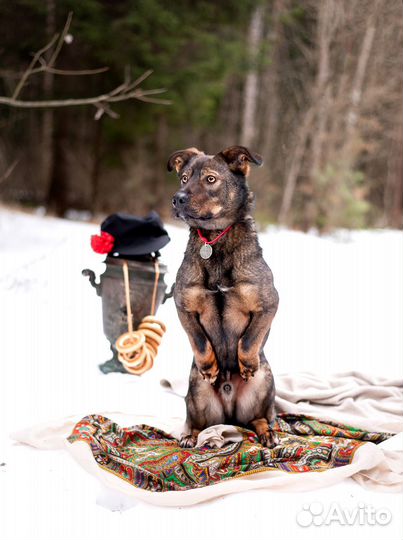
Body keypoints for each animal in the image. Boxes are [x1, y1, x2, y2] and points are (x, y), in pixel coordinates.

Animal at [169, 143, 280, 448]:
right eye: (184, 178)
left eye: (210, 179)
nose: (177, 199)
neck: (215, 238)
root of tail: (230, 414)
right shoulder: (183, 305)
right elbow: (199, 340)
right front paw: (210, 367)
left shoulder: (269, 303)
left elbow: (248, 339)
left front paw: (247, 363)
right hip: (196, 393)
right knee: (199, 424)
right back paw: (189, 437)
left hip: (265, 385)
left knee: (258, 419)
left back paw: (268, 433)